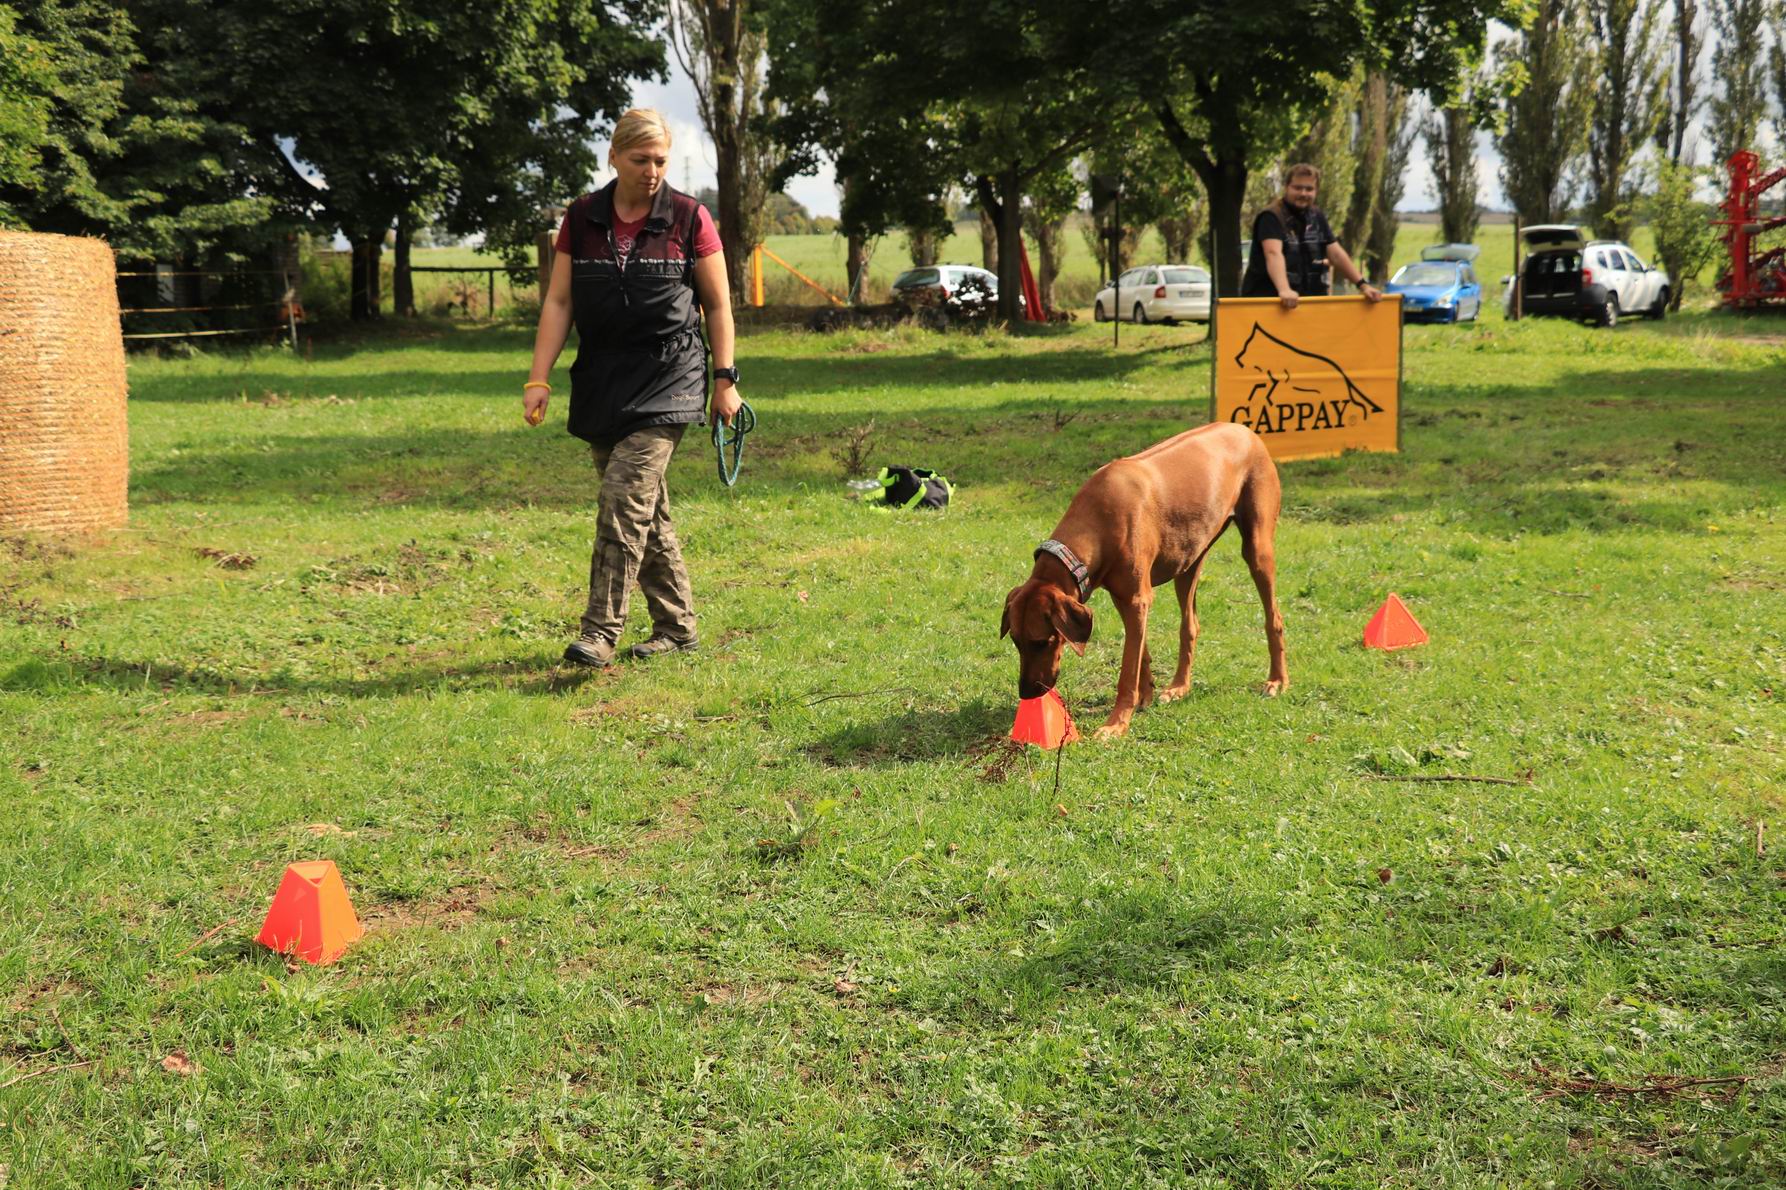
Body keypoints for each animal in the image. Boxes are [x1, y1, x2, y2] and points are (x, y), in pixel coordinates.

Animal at [1000, 416, 1293, 732]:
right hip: (1188, 561)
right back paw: (1179, 687)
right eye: (1016, 640)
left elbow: (1128, 669)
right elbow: (1140, 653)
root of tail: (1243, 429)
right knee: (1190, 624)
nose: (1027, 693)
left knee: (1273, 616)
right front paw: (1146, 695)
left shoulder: (1137, 599)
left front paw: (1116, 724)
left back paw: (1277, 680)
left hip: (1257, 548)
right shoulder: (1124, 598)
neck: (1097, 521)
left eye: (1043, 642)